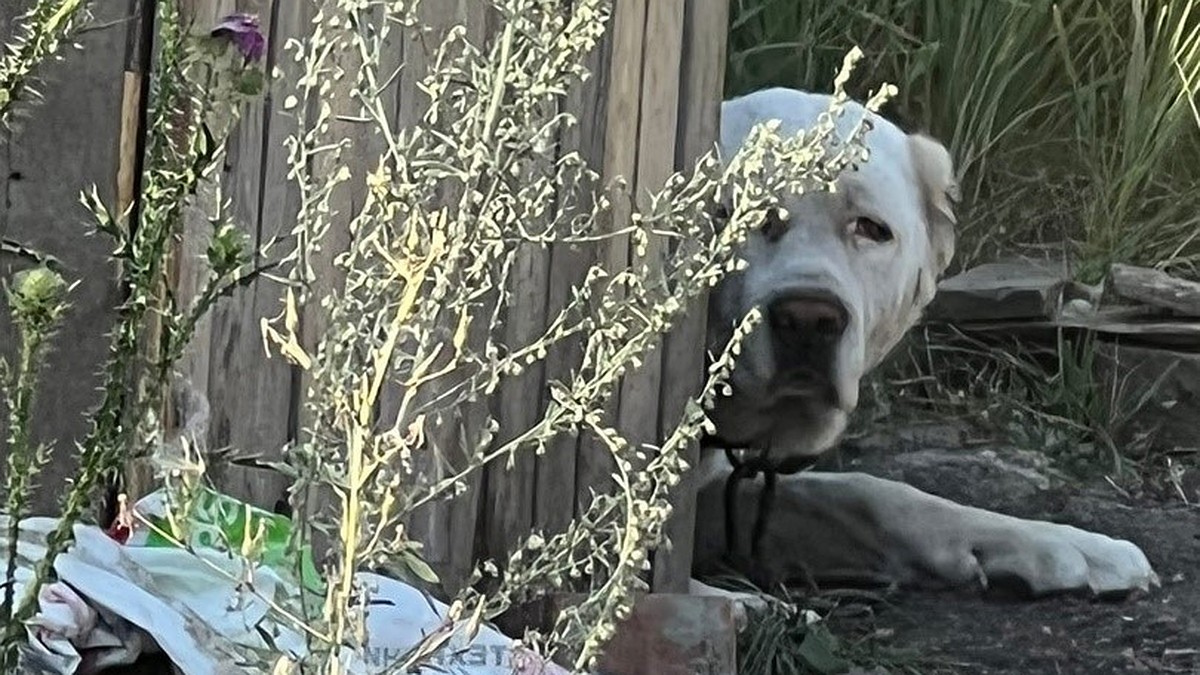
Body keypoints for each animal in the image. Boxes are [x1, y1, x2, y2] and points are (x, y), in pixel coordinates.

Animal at [691, 88, 1156, 598]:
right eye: (732, 216)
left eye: (871, 228)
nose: (809, 319)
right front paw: (729, 603)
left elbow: (866, 493)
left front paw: (1067, 544)